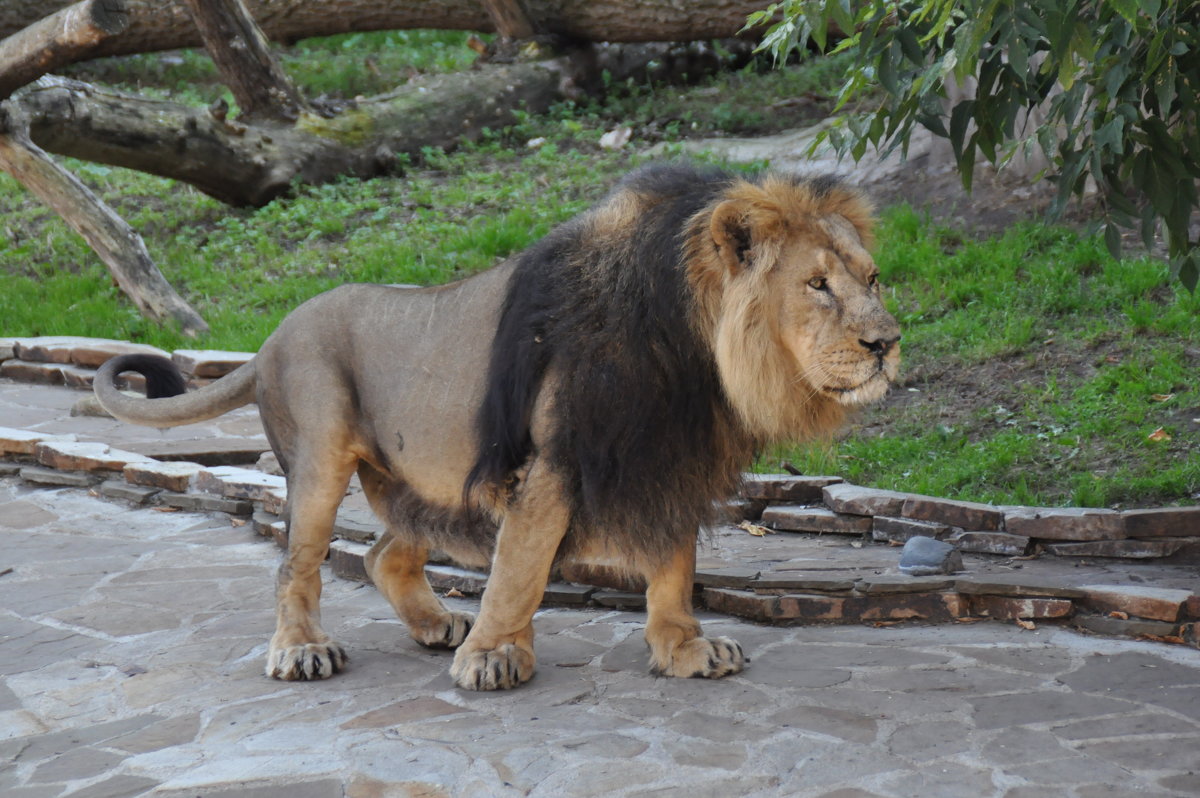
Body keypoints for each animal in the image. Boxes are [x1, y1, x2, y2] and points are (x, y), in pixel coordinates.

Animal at [96, 163, 902, 691]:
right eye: (816, 284)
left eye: (872, 278)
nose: (886, 343)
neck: (694, 355)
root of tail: (266, 339)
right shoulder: (551, 461)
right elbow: (519, 568)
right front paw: (494, 656)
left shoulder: (664, 458)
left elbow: (674, 566)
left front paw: (684, 650)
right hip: (321, 457)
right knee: (297, 564)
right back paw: (302, 651)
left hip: (424, 478)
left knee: (384, 552)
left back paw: (433, 624)